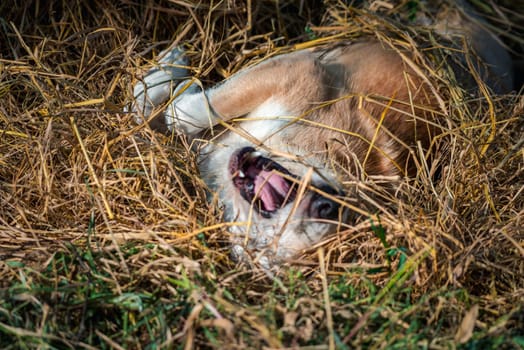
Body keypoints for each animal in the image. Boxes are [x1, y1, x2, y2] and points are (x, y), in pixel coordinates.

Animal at [129, 3, 512, 266]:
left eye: (267, 248)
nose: (327, 206)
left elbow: (163, 117)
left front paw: (167, 85)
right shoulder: (299, 70)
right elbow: (187, 109)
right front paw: (170, 71)